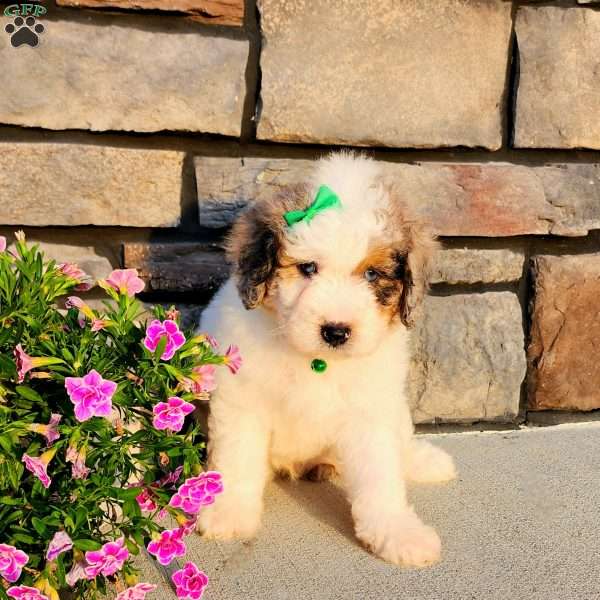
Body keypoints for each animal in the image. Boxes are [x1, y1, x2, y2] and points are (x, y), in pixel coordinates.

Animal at [197, 151, 454, 568]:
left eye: (372, 274)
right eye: (307, 268)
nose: (336, 331)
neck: (317, 361)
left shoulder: (370, 412)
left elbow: (381, 476)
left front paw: (398, 533)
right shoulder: (241, 400)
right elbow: (236, 459)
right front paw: (228, 512)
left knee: (402, 442)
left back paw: (425, 462)